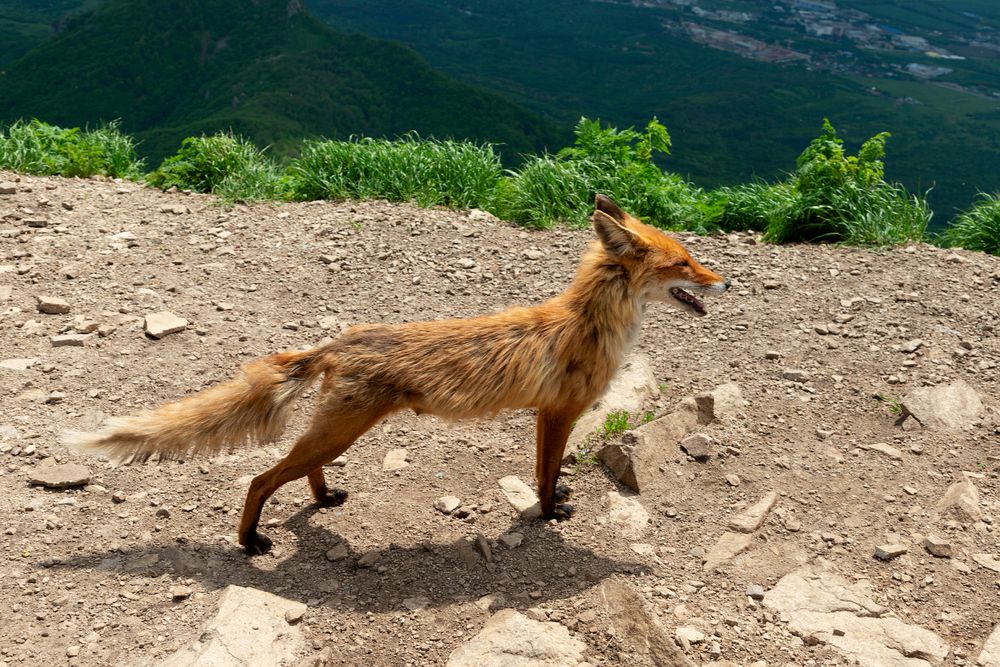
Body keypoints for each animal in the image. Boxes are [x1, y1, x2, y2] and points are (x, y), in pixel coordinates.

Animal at [65, 194, 729, 555]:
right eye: (684, 263)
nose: (723, 281)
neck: (589, 325)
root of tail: (340, 340)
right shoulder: (558, 412)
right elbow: (545, 474)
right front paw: (548, 512)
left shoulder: (548, 413)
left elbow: (550, 470)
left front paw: (555, 499)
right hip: (340, 432)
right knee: (259, 479)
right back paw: (249, 542)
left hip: (333, 435)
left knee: (299, 472)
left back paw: (323, 498)